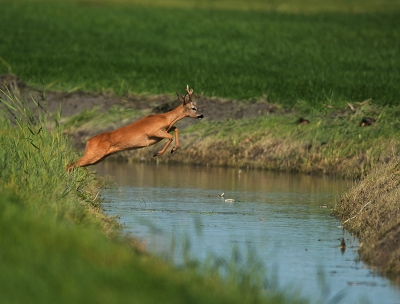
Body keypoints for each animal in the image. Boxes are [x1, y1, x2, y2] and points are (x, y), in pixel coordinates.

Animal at [67, 85, 203, 171]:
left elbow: (175, 128)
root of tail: (88, 141)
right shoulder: (153, 131)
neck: (166, 118)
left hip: (98, 158)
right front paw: (158, 153)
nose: (201, 115)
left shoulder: (165, 129)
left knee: (74, 164)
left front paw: (174, 149)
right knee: (71, 164)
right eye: (193, 108)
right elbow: (170, 136)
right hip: (93, 154)